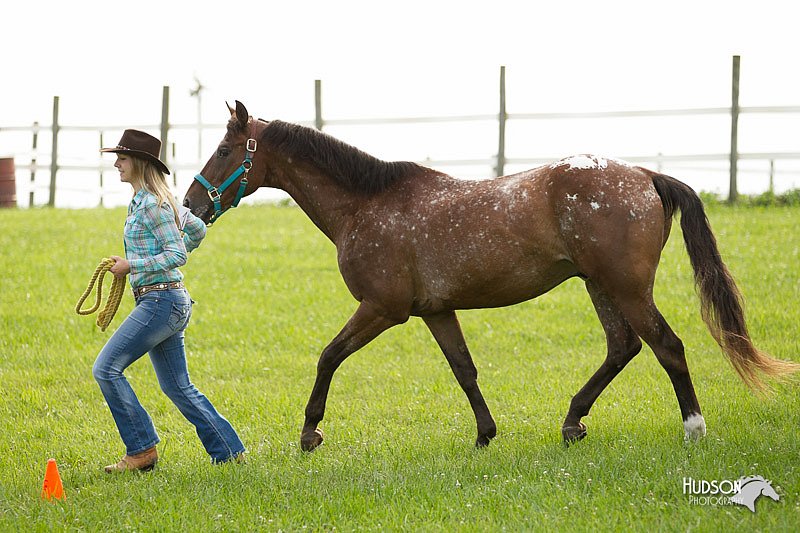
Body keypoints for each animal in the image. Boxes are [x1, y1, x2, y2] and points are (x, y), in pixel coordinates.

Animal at [183, 100, 800, 448]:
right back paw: (572, 423)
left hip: (626, 288)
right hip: (599, 286)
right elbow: (465, 371)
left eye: (224, 150)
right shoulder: (436, 311)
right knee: (623, 347)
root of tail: (647, 176)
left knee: (667, 347)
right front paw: (485, 434)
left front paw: (310, 431)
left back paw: (693, 429)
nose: (190, 203)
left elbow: (328, 356)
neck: (367, 203)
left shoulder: (382, 310)